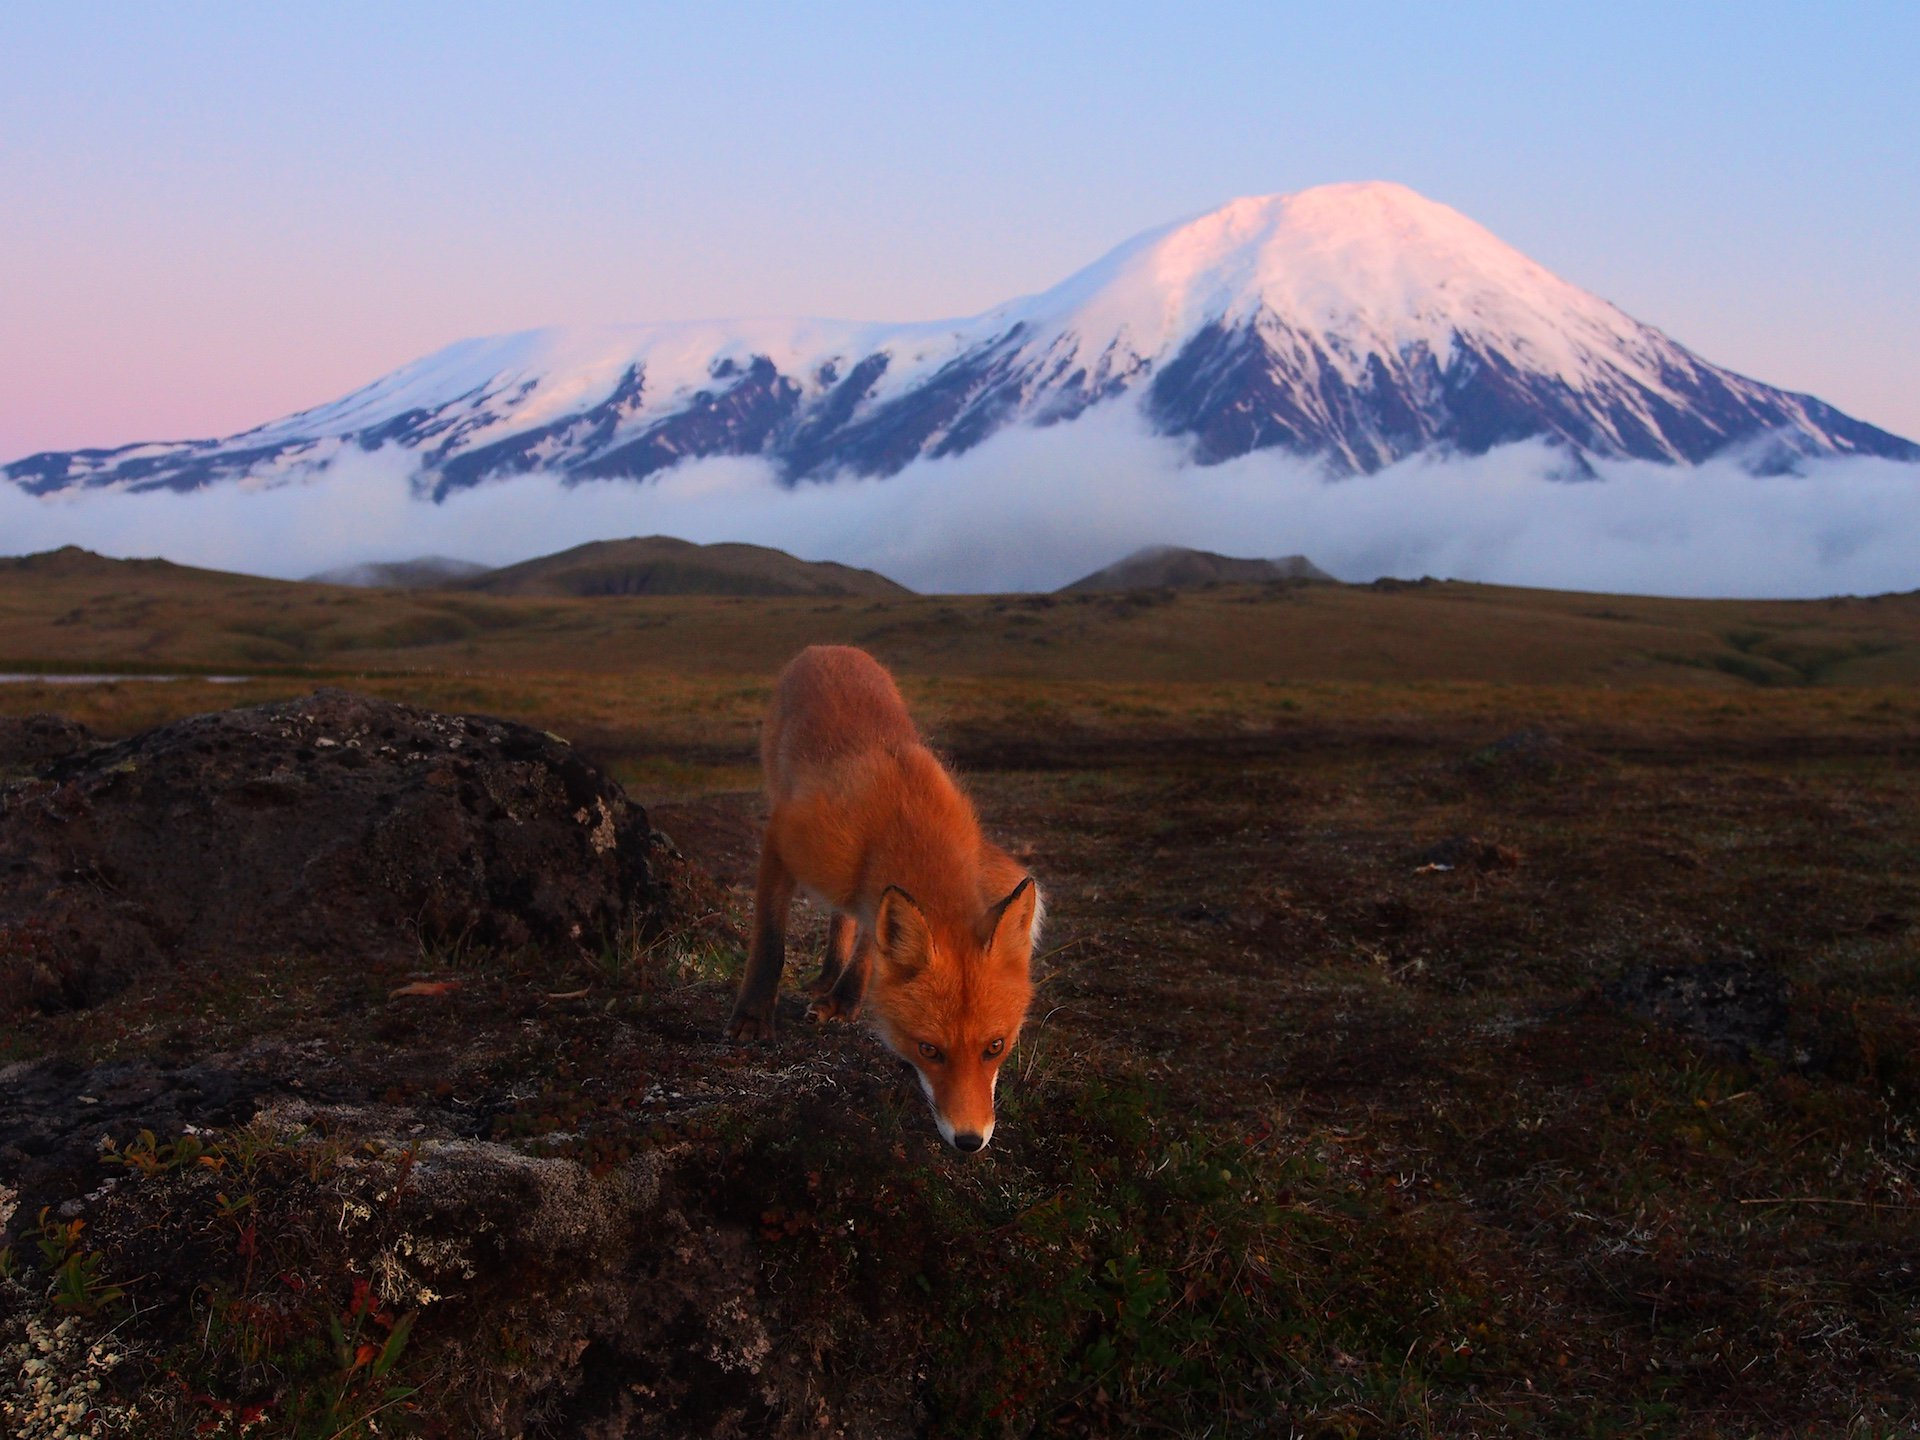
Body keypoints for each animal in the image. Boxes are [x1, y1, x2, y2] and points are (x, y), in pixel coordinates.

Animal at [725, 648, 1044, 1159]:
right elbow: (770, 942)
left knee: (847, 919)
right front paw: (753, 1017)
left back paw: (833, 980)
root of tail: (829, 647)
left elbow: (870, 948)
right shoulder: (780, 838)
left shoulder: (877, 896)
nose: (969, 1140)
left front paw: (847, 999)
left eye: (995, 1046)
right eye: (928, 1049)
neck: (903, 820)